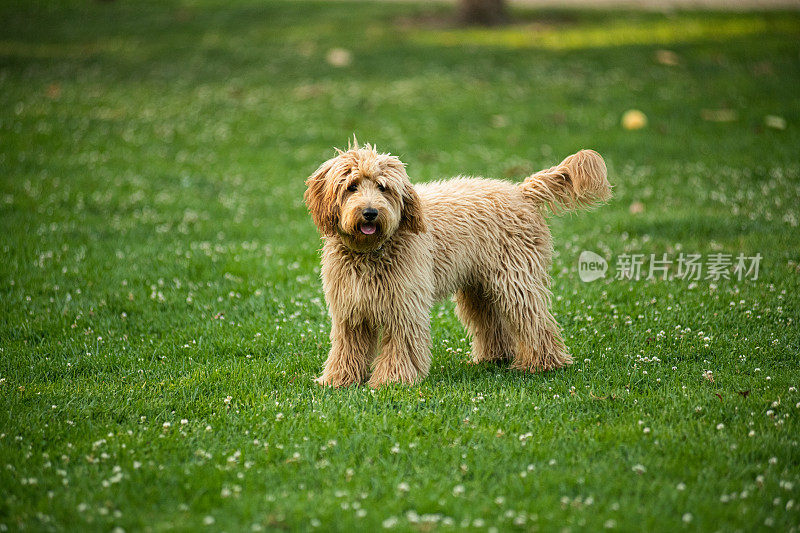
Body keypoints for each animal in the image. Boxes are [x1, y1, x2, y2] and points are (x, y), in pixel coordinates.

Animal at [304, 141, 608, 386]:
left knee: (533, 320)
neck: (370, 251)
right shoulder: (350, 308)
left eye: (383, 187)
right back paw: (494, 358)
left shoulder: (404, 305)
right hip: (479, 286)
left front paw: (392, 380)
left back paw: (541, 363)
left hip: (515, 278)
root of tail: (521, 192)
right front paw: (338, 380)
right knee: (489, 320)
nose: (370, 213)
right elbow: (346, 347)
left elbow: (401, 345)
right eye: (351, 186)